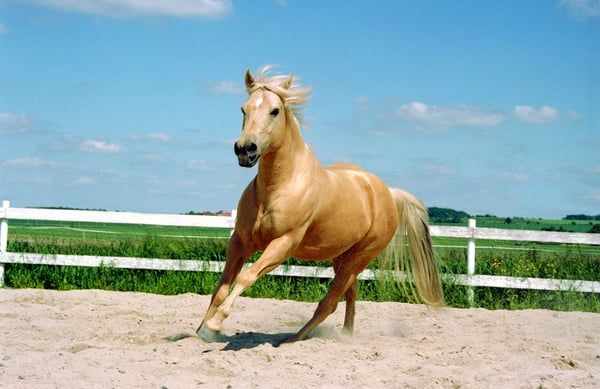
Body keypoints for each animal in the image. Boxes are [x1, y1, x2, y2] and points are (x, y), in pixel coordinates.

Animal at [196, 66, 440, 342]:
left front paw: (214, 327)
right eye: (243, 109)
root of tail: (387, 192)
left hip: (359, 258)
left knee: (330, 302)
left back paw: (292, 339)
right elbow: (222, 286)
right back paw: (345, 335)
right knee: (350, 292)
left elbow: (247, 276)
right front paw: (200, 330)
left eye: (275, 111)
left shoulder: (283, 244)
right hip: (342, 256)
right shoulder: (240, 241)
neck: (279, 188)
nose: (245, 149)